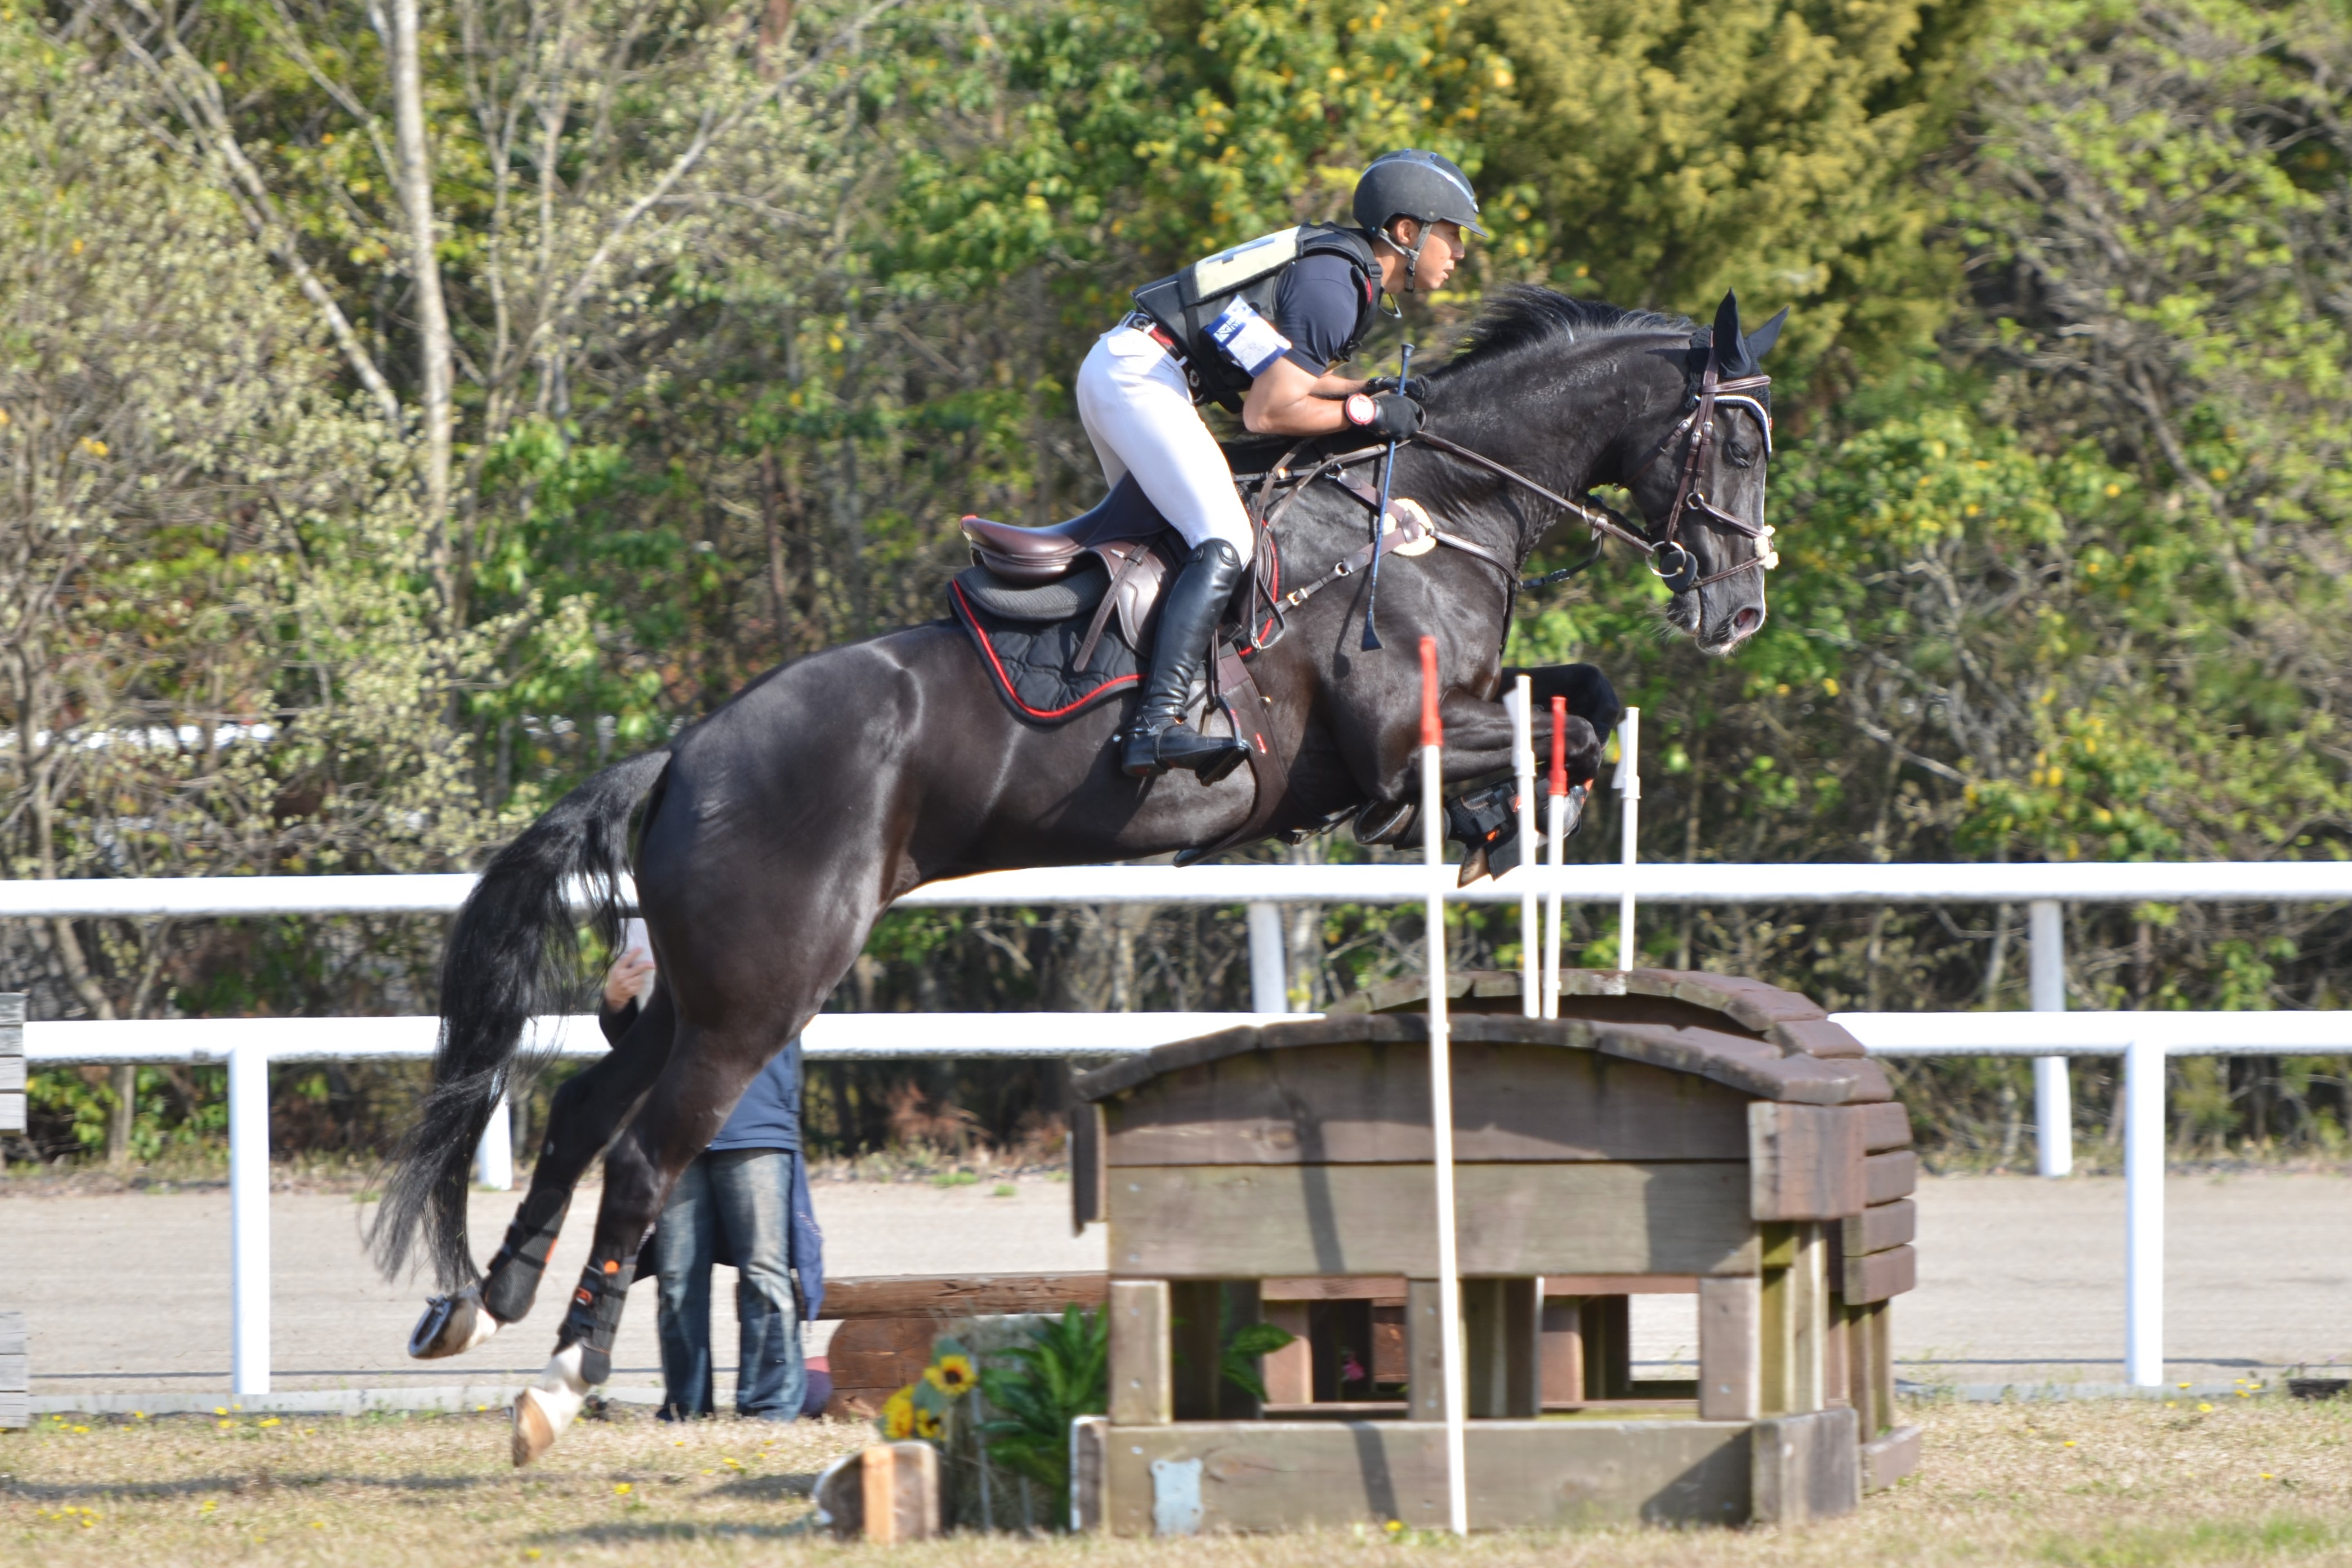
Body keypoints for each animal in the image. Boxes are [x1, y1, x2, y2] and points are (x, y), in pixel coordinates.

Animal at [368, 286, 1784, 1463]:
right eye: (1735, 445)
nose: (1738, 615)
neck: (1440, 504)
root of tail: (684, 754)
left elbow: (1587, 701)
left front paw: (1503, 822)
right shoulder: (1396, 734)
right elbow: (1557, 727)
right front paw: (1496, 819)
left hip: (698, 982)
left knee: (581, 1109)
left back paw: (484, 1300)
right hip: (761, 990)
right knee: (644, 1156)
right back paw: (557, 1378)